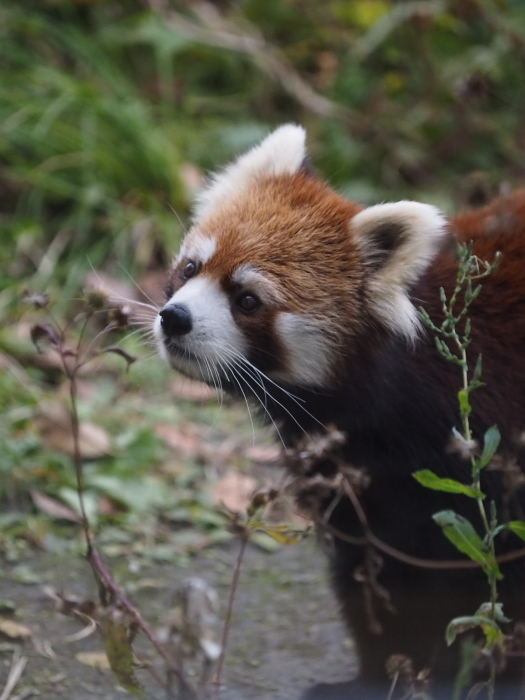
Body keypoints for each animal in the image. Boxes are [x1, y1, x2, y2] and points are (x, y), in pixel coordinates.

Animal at [154, 127, 524, 700]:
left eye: (247, 299)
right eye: (191, 268)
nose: (174, 318)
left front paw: (483, 671)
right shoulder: (359, 477)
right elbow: (374, 572)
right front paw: (375, 676)